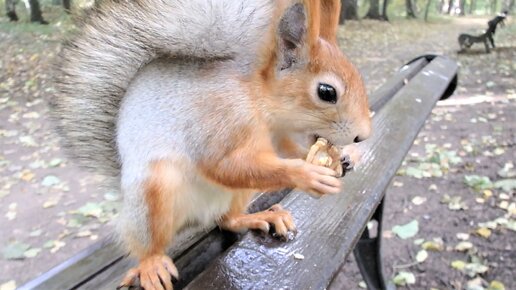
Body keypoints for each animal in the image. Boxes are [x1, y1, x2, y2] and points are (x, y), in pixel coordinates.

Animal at [50, 0, 370, 288]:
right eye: (326, 92)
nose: (363, 135)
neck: (259, 101)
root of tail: (197, 217)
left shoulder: (279, 139)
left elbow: (288, 152)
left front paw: (346, 156)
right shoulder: (221, 120)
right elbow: (224, 166)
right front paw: (307, 175)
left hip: (236, 195)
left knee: (228, 220)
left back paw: (262, 216)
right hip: (153, 191)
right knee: (147, 242)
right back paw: (151, 263)